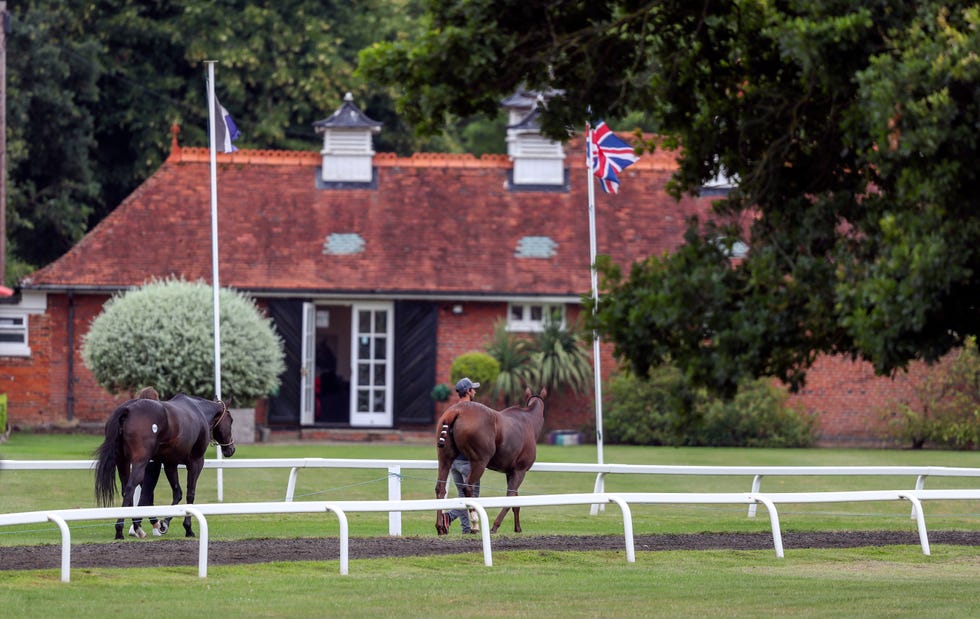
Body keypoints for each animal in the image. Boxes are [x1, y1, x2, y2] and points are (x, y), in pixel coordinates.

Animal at [94, 394, 236, 540]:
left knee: (126, 491)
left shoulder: (170, 464)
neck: (199, 411)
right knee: (129, 489)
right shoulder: (196, 463)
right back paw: (123, 529)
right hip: (139, 463)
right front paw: (187, 528)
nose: (231, 449)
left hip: (123, 463)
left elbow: (177, 493)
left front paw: (164, 523)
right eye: (230, 420)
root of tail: (127, 409)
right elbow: (190, 494)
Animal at [434, 390, 548, 536]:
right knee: (468, 487)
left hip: (445, 459)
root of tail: (456, 411)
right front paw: (495, 526)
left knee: (440, 488)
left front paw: (517, 528)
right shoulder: (520, 471)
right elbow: (510, 496)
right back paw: (475, 522)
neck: (529, 421)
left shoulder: (511, 472)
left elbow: (515, 501)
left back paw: (440, 526)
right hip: (479, 462)